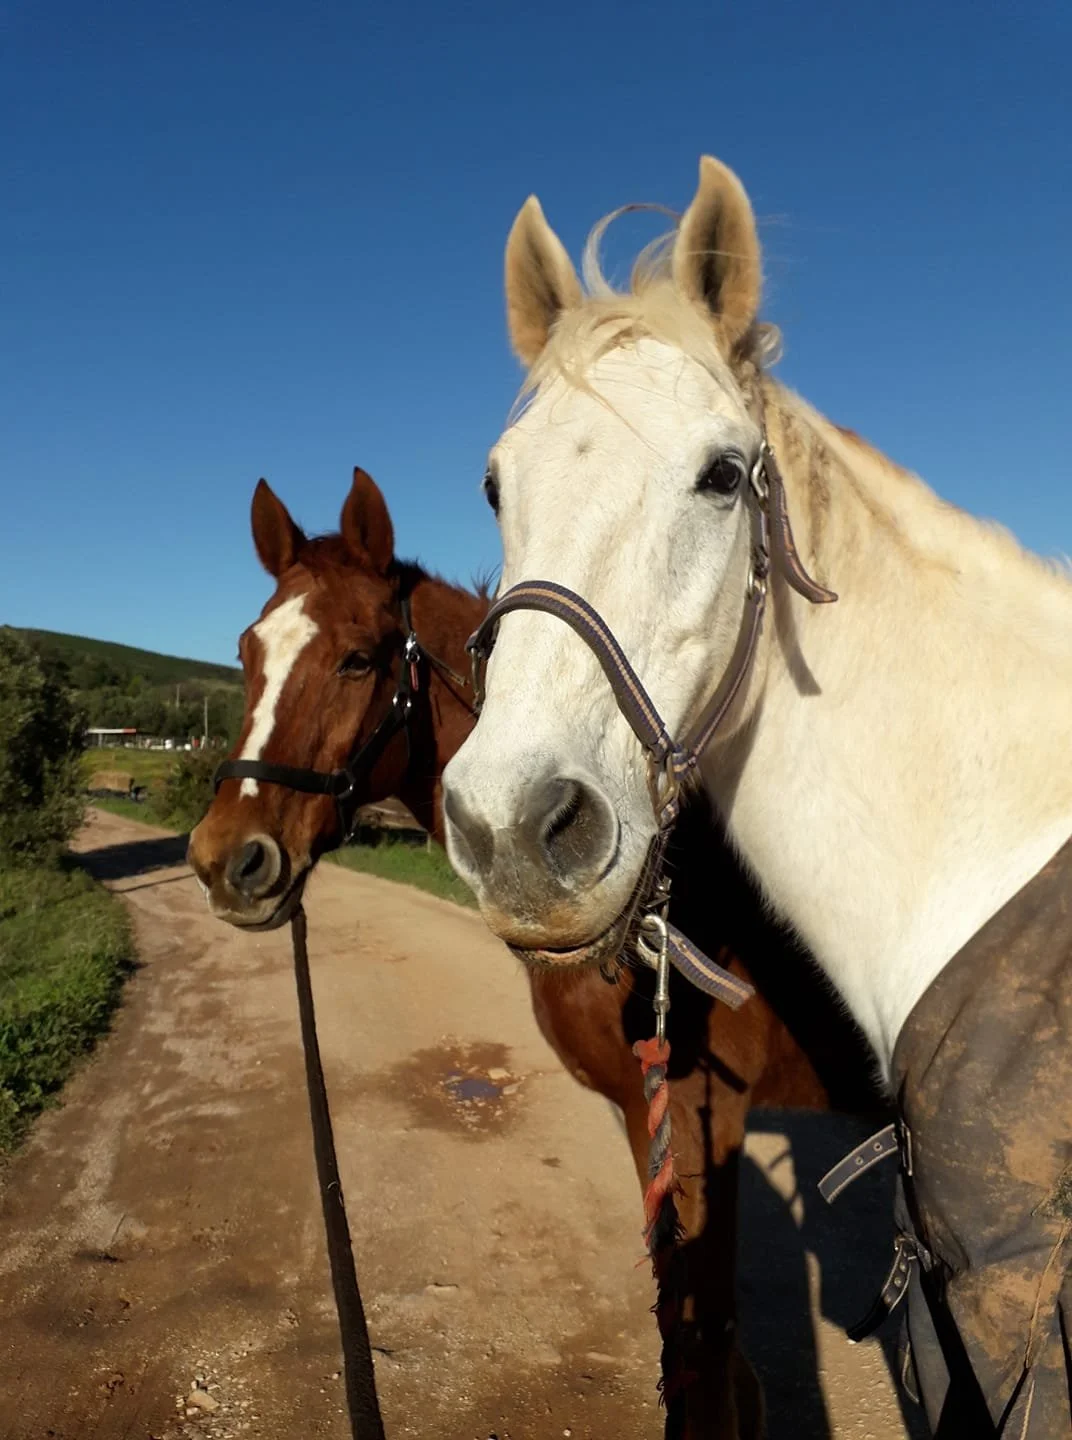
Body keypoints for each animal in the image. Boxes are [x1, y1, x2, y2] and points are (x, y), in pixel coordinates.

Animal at [188, 465, 885, 1439]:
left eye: (359, 658)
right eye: (248, 652)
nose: (227, 859)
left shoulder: (697, 1121)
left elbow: (701, 1355)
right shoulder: (651, 1121)